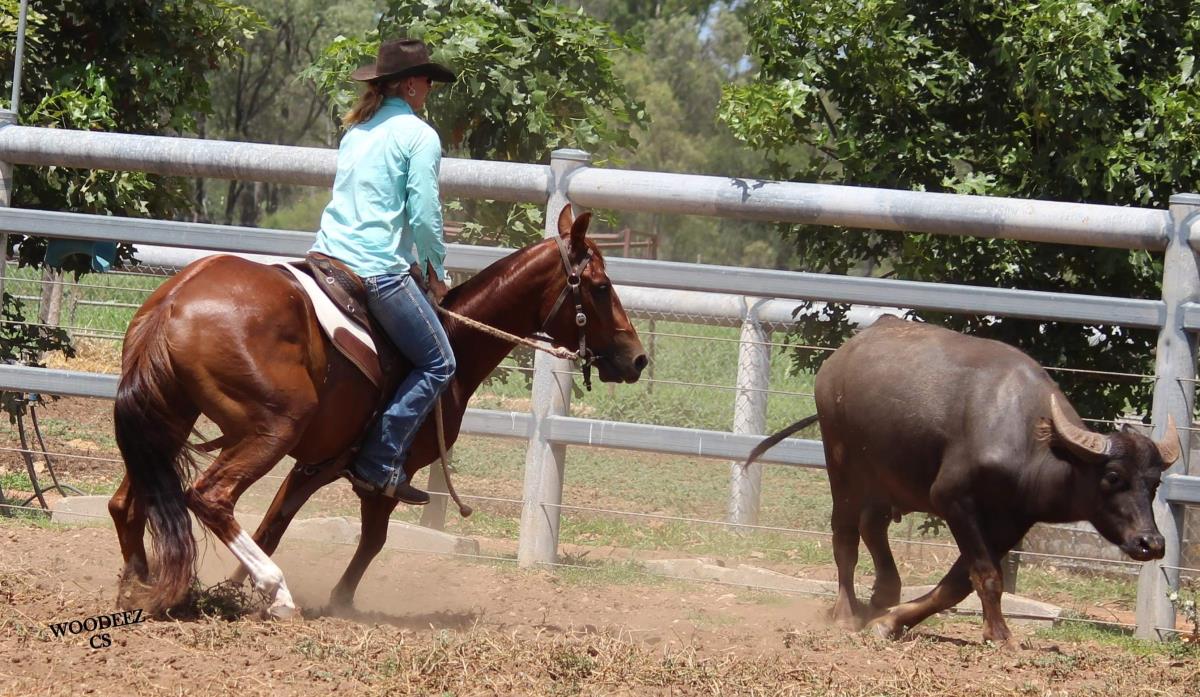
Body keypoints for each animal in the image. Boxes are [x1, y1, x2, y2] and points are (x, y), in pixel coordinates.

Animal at [109, 206, 647, 618]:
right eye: (600, 286)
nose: (637, 357)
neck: (457, 339)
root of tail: (174, 301)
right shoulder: (385, 473)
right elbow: (372, 540)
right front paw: (338, 600)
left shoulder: (317, 464)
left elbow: (274, 525)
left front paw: (233, 589)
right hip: (274, 427)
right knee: (210, 496)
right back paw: (279, 593)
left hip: (165, 422)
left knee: (127, 504)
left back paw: (138, 586)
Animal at [745, 315, 1180, 645]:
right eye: (1113, 476)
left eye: (1155, 483)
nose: (1151, 543)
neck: (1029, 443)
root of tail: (838, 361)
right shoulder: (953, 499)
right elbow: (985, 574)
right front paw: (999, 634)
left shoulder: (1011, 521)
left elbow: (960, 582)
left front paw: (891, 622)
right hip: (842, 466)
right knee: (845, 537)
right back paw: (846, 612)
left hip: (885, 478)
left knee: (874, 526)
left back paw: (884, 595)